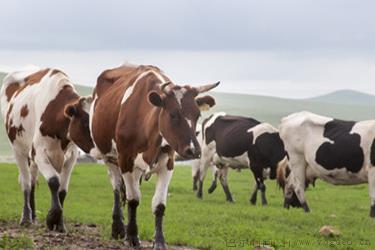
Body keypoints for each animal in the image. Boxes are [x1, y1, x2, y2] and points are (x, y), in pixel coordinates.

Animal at [0, 67, 94, 231]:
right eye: (84, 122)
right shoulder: (39, 153)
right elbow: (54, 182)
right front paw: (51, 218)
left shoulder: (71, 157)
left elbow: (62, 191)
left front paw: (60, 224)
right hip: (18, 150)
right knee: (26, 183)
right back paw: (26, 218)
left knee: (32, 181)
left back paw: (33, 217)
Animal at [85, 64, 219, 248]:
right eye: (173, 114)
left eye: (197, 115)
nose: (194, 150)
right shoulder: (125, 161)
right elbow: (133, 199)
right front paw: (132, 237)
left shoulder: (168, 164)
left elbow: (159, 204)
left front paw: (159, 241)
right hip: (109, 158)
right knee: (117, 188)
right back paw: (118, 228)